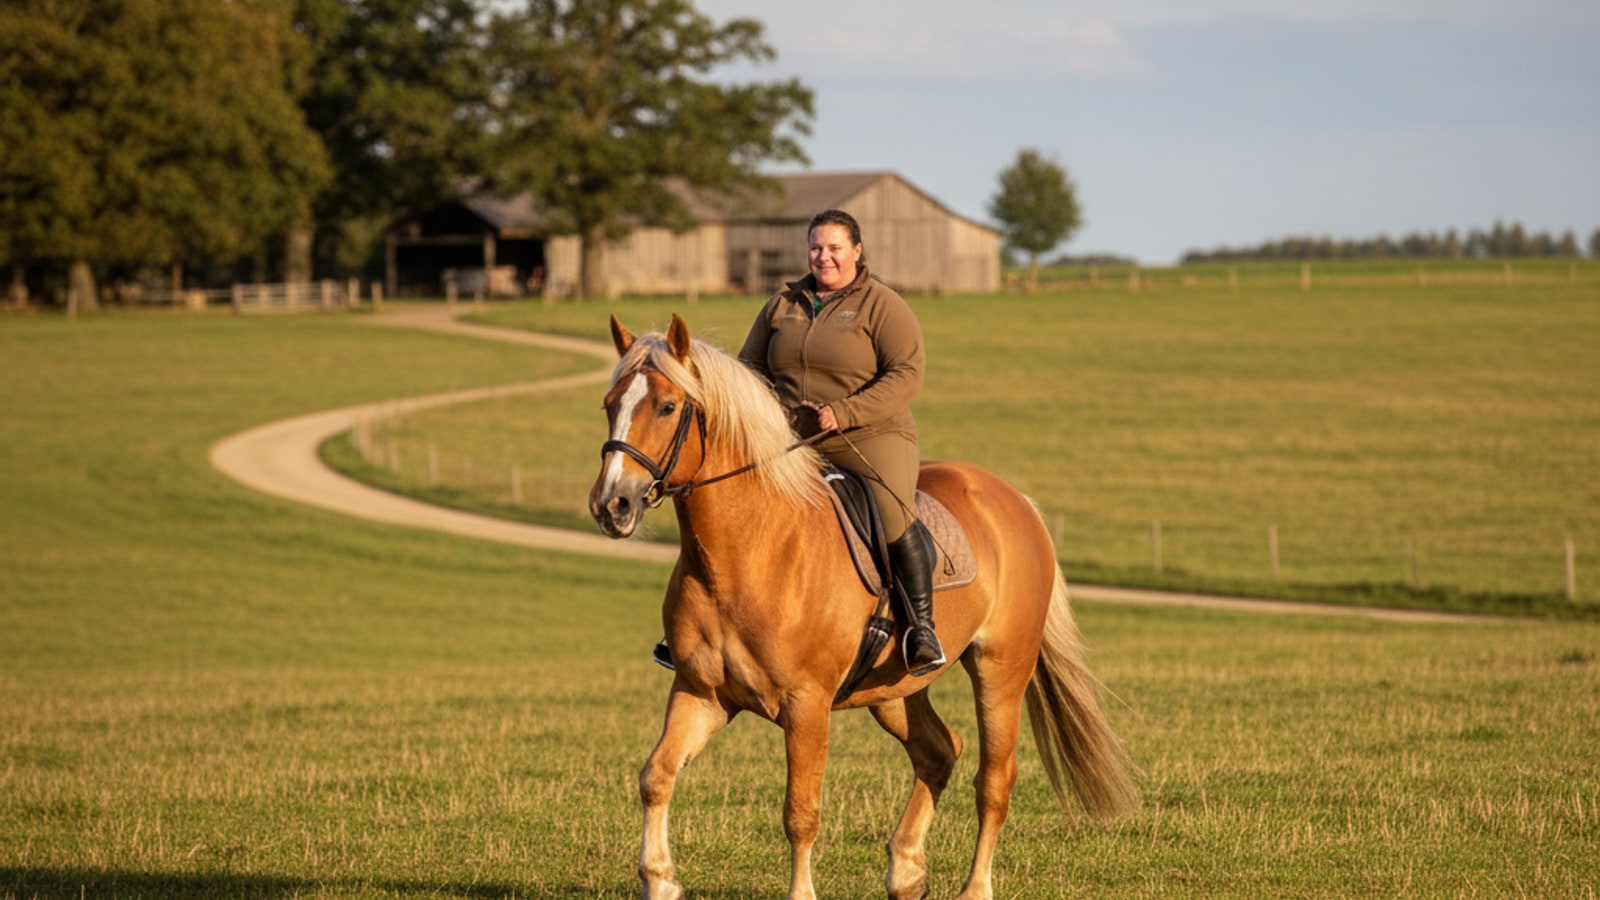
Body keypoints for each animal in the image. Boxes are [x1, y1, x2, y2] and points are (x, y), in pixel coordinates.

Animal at [588, 314, 1137, 900]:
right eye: (610, 402)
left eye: (668, 406)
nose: (611, 505)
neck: (750, 549)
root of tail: (1014, 501)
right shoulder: (701, 692)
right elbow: (656, 775)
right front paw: (660, 878)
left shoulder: (806, 706)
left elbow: (800, 813)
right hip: (894, 689)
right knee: (939, 750)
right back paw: (907, 871)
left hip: (1001, 670)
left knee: (994, 778)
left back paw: (973, 887)